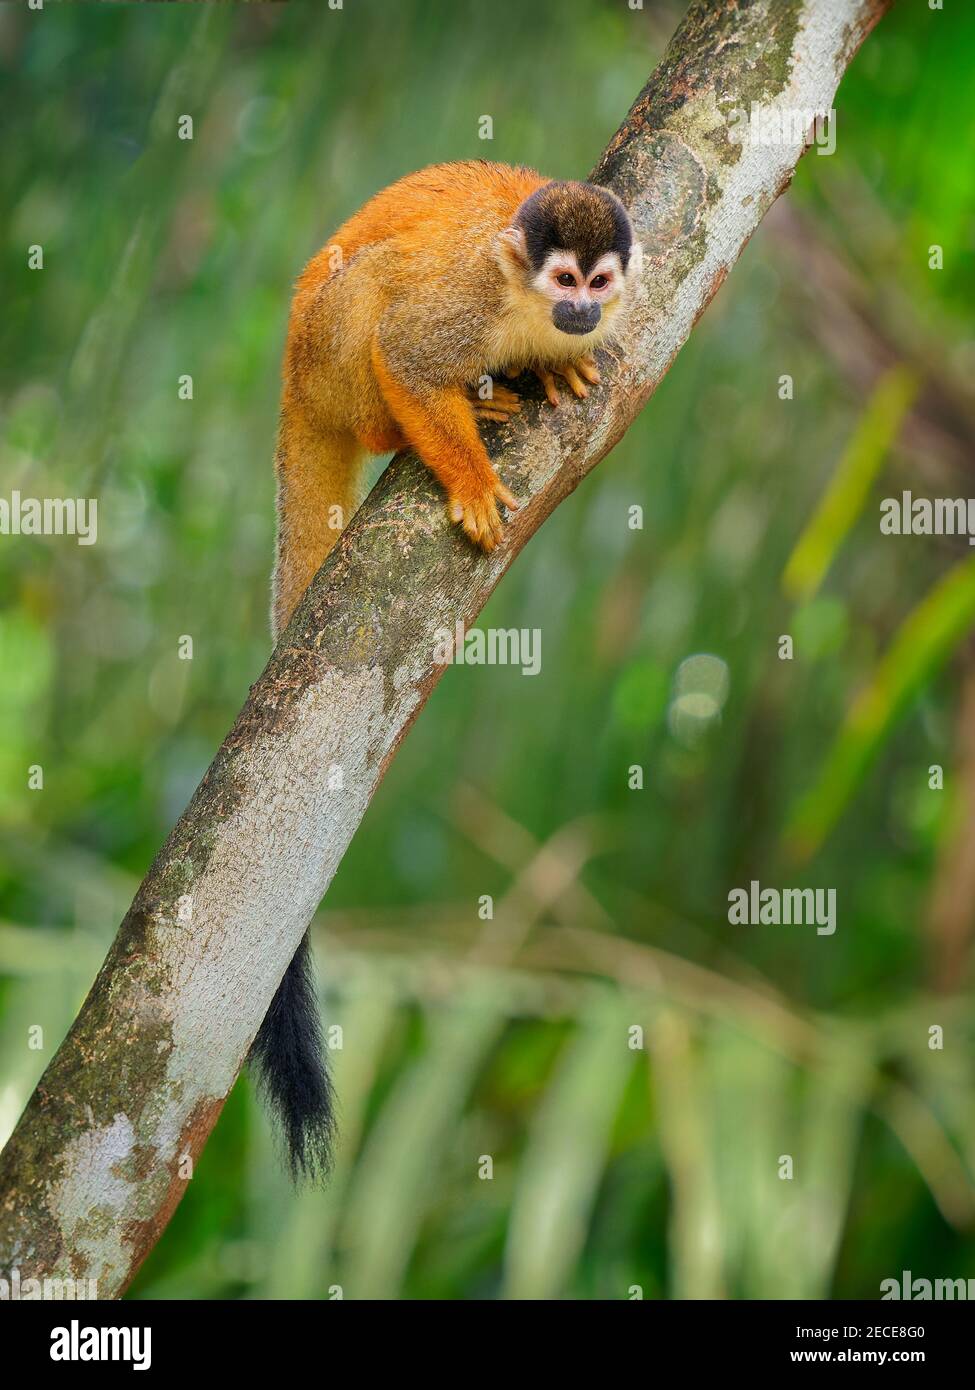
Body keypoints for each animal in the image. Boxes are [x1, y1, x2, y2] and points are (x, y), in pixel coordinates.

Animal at [252, 160, 641, 1179]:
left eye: (598, 284)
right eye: (562, 279)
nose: (579, 313)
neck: (523, 304)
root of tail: (289, 380)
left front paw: (558, 364)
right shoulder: (465, 302)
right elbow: (406, 348)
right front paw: (467, 476)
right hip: (325, 356)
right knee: (369, 302)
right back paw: (432, 424)